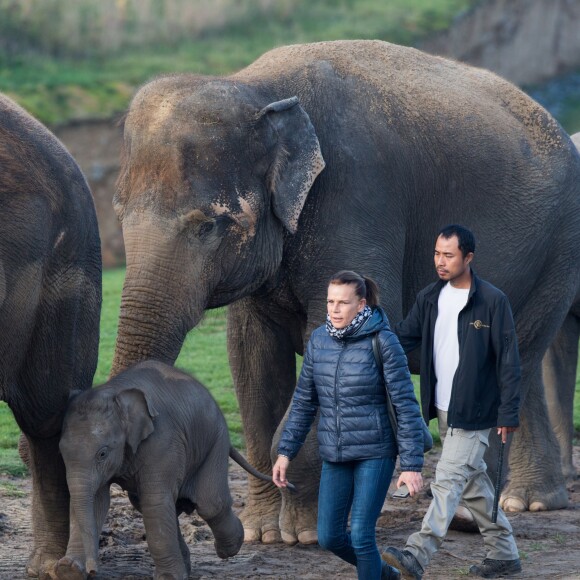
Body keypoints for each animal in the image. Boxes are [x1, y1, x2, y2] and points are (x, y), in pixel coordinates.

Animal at [55, 362, 282, 580]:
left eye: (102, 453)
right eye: (61, 451)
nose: (93, 570)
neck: (115, 392)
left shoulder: (162, 440)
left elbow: (155, 500)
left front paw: (168, 577)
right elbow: (97, 501)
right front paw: (68, 570)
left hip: (215, 441)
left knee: (210, 503)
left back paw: (231, 547)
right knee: (157, 505)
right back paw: (188, 565)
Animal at [112, 40, 580, 544]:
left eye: (209, 225)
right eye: (119, 212)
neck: (256, 87)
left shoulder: (358, 198)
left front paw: (306, 534)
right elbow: (252, 360)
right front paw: (264, 534)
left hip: (558, 252)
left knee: (512, 362)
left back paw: (472, 519)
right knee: (517, 371)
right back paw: (525, 503)